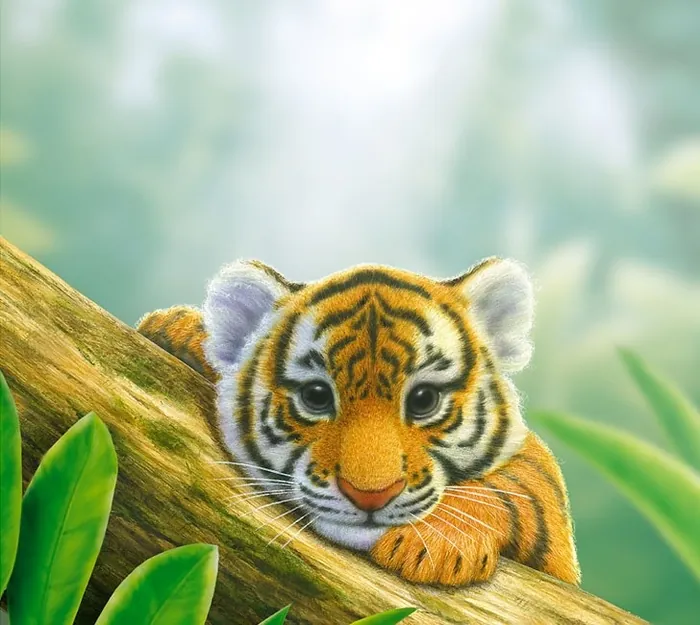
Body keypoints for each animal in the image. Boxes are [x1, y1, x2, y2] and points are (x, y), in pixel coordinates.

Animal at [137, 257, 580, 586]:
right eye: (316, 397)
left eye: (424, 400)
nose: (370, 496)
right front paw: (180, 329)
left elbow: (514, 485)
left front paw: (435, 544)